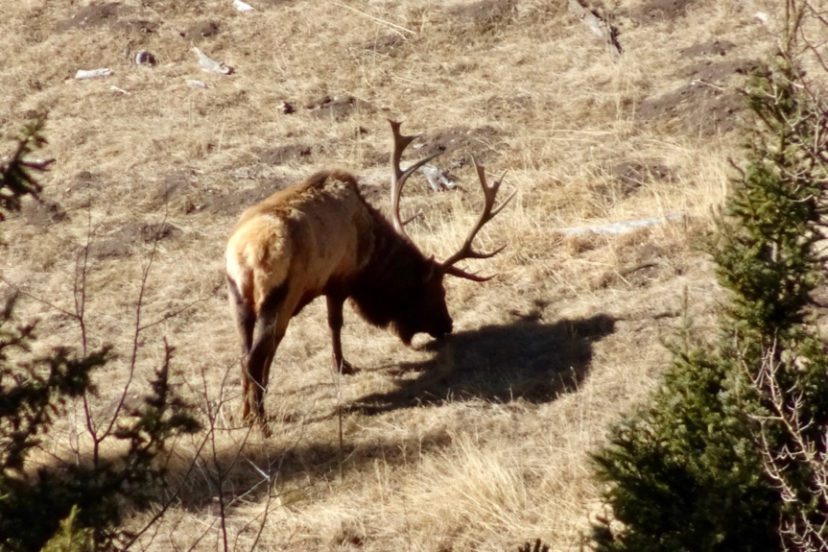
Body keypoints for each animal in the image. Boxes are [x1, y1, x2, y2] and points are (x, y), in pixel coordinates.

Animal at [225, 121, 512, 432]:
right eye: (438, 290)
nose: (447, 324)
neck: (371, 255)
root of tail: (245, 255)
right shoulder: (339, 279)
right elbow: (334, 324)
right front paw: (342, 365)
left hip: (239, 301)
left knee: (243, 354)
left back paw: (244, 413)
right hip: (279, 297)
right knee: (254, 358)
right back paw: (262, 423)